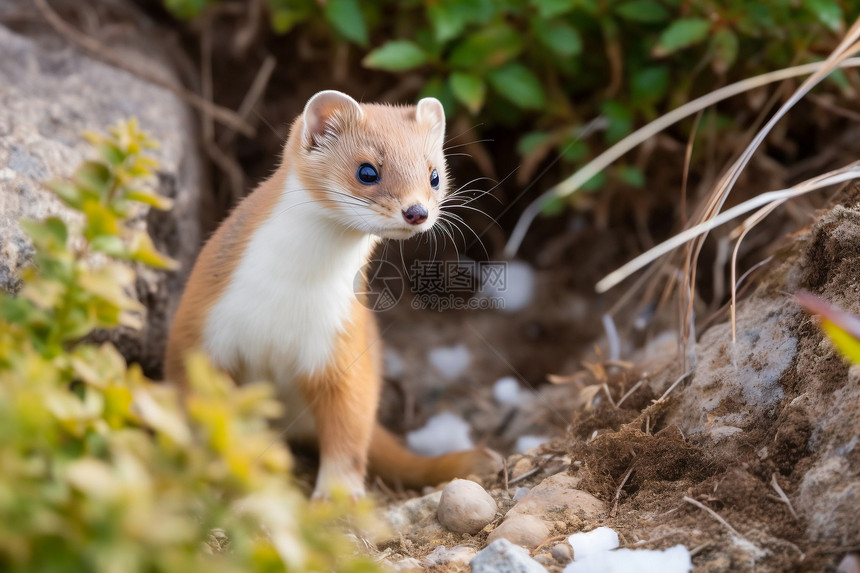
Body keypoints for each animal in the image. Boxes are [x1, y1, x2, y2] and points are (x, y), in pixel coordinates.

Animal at [167, 89, 500, 496]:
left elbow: (351, 424)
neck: (288, 294)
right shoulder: (200, 326)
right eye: (367, 171)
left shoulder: (342, 341)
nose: (417, 211)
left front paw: (338, 496)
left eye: (435, 175)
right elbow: (199, 400)